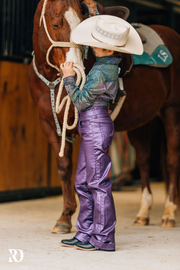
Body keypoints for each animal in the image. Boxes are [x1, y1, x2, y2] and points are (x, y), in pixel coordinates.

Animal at [28, 0, 180, 233]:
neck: (52, 79)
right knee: (144, 160)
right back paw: (143, 213)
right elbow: (64, 167)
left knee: (172, 159)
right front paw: (65, 217)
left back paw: (169, 213)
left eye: (81, 23)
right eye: (55, 24)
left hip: (172, 110)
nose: (76, 71)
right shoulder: (49, 124)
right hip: (141, 121)